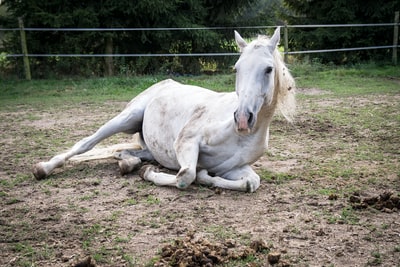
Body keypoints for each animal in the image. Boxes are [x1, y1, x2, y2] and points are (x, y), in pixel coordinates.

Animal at [32, 28, 296, 193]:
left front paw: (206, 176)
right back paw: (43, 168)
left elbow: (251, 182)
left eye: (268, 69)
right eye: (237, 68)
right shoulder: (186, 141)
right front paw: (150, 175)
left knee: (126, 153)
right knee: (86, 143)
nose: (242, 119)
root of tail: (164, 83)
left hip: (149, 146)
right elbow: (185, 176)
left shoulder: (234, 168)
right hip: (126, 118)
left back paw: (127, 163)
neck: (240, 135)